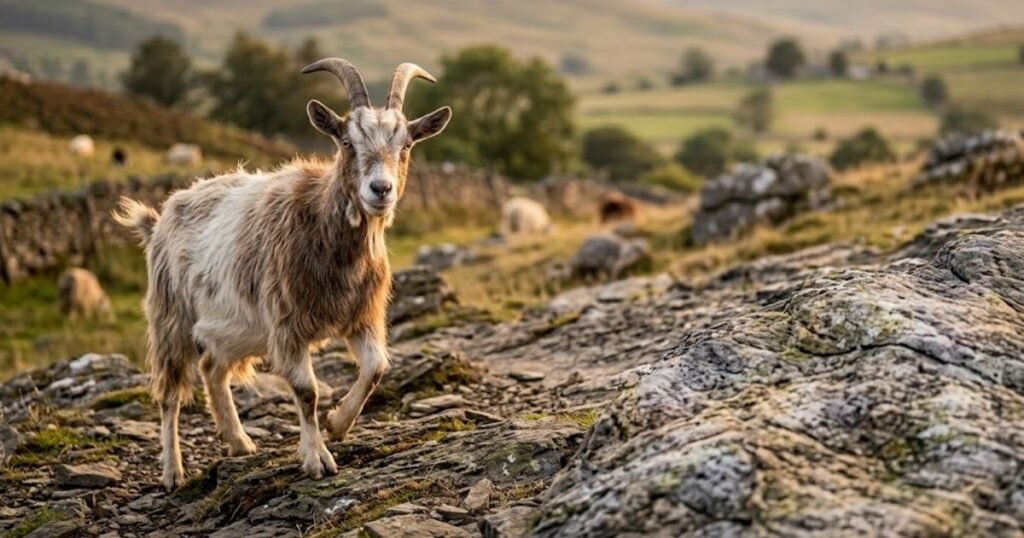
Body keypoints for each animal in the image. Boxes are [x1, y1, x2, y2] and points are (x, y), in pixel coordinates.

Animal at [113, 58, 452, 491]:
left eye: (406, 144)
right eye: (346, 142)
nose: (380, 189)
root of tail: (159, 220)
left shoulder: (361, 317)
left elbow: (377, 368)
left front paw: (338, 423)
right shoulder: (288, 325)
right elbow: (307, 392)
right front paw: (317, 459)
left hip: (234, 327)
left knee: (211, 370)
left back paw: (238, 441)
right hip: (171, 319)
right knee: (170, 395)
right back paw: (173, 471)